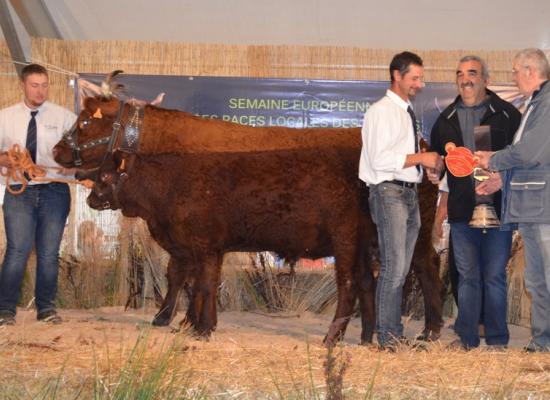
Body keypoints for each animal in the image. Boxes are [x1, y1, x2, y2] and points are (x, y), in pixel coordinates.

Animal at [88, 147, 378, 344]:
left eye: (104, 175)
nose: (90, 199)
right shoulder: (193, 248)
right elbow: (189, 282)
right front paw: (186, 323)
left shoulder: (205, 245)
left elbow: (204, 285)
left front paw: (202, 328)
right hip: (362, 246)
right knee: (366, 282)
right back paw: (366, 337)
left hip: (345, 239)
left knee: (348, 284)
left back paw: (332, 337)